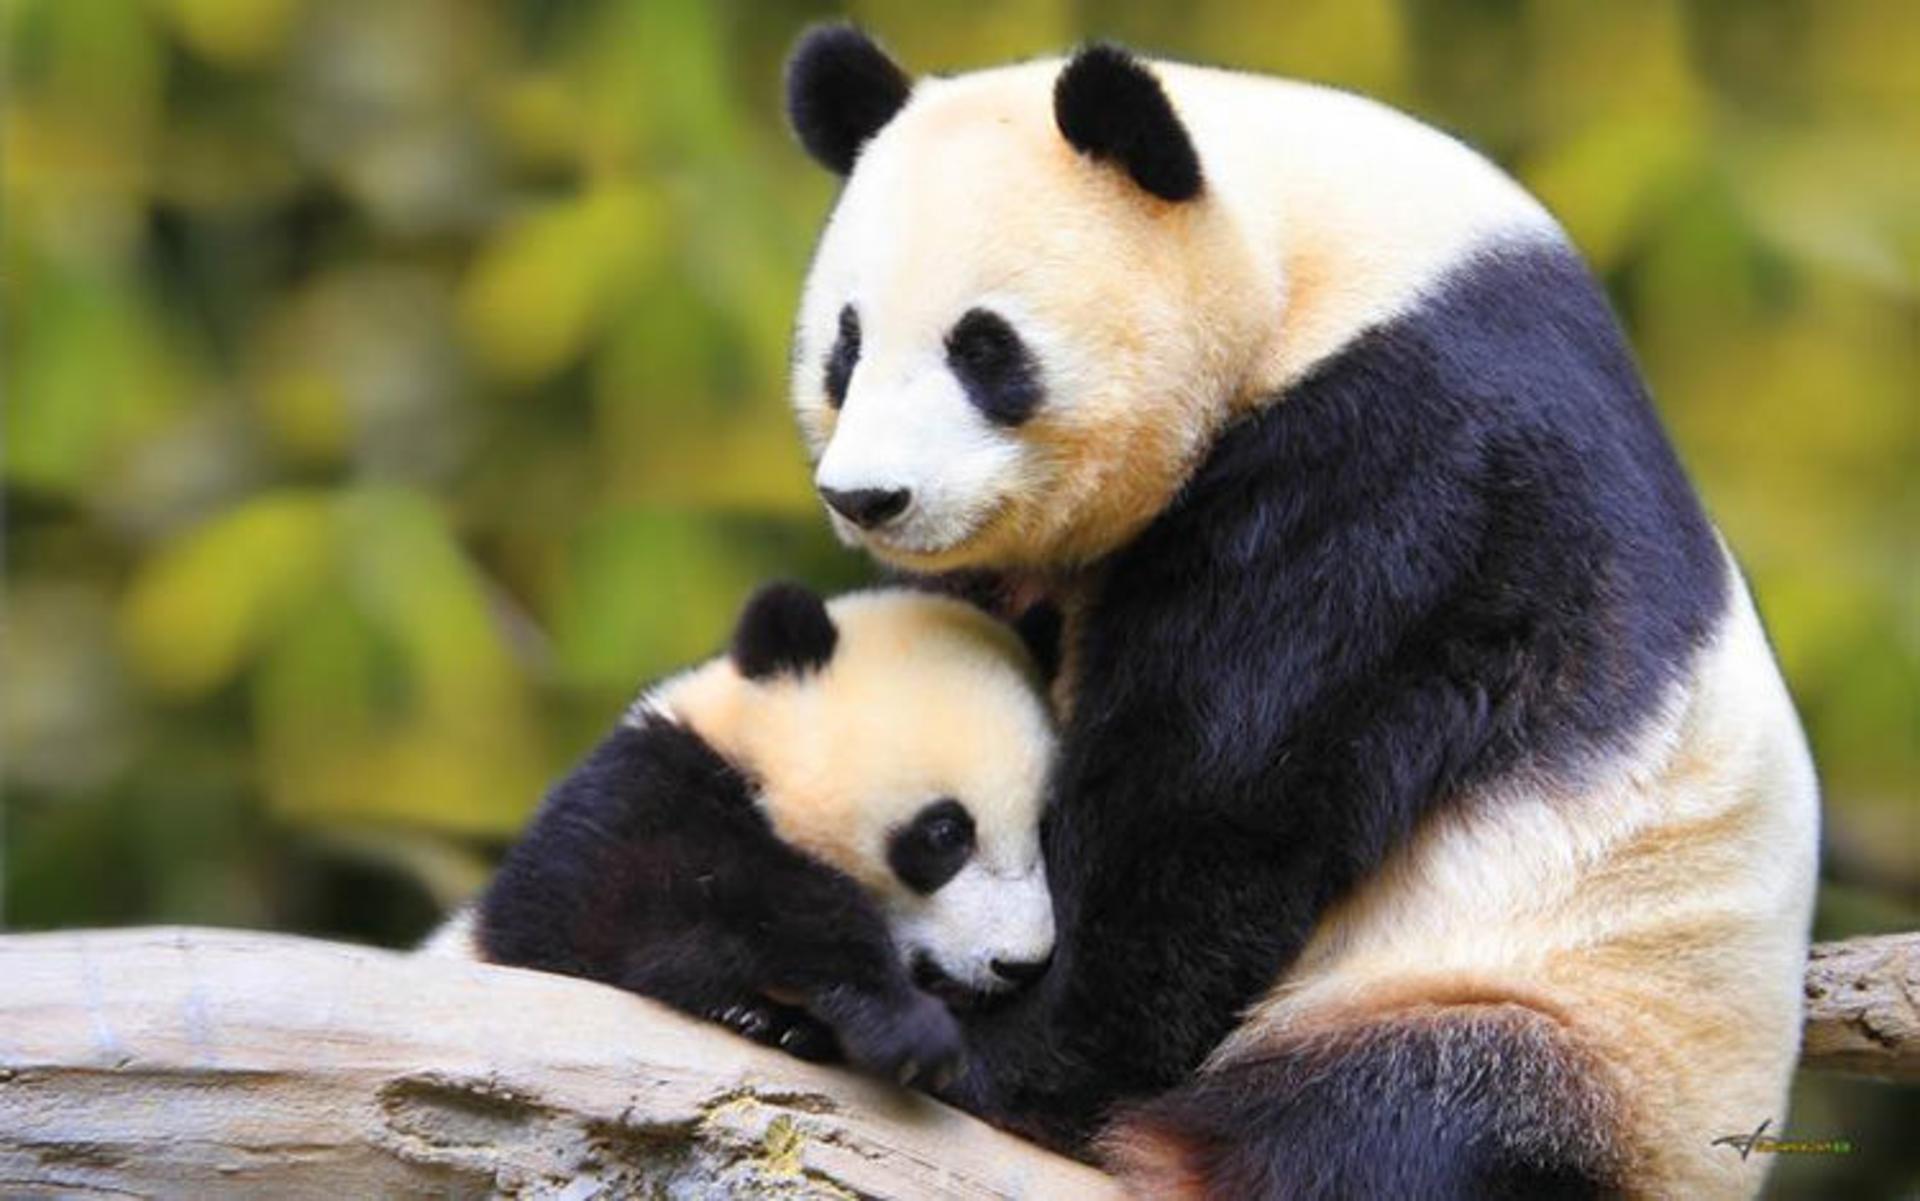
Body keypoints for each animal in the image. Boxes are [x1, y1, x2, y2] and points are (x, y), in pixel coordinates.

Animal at [426, 582, 1059, 1087]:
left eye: (1043, 828)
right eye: (946, 834)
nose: (1021, 964)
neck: (750, 759)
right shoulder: (633, 802)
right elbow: (635, 916)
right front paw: (905, 1028)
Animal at [780, 26, 1820, 1200]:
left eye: (984, 348)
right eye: (847, 346)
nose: (869, 497)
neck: (1310, 260)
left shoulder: (1405, 456)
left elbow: (1218, 793)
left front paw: (977, 1046)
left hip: (1573, 1011)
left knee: (1414, 1115)